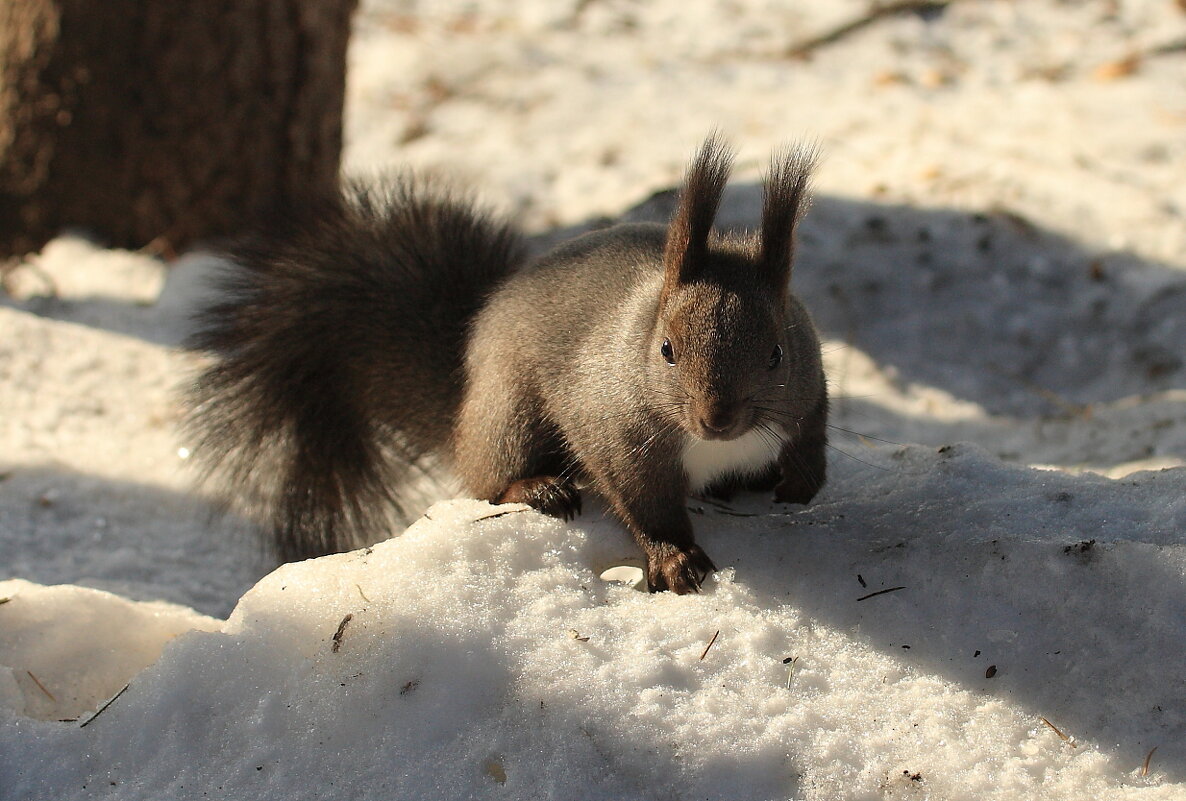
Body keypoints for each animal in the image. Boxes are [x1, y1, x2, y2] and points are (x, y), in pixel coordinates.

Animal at [189, 134, 830, 593]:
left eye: (778, 351)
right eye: (666, 350)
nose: (716, 419)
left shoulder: (811, 387)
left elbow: (812, 438)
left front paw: (801, 483)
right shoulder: (613, 432)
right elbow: (644, 504)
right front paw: (675, 560)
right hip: (510, 416)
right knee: (487, 481)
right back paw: (537, 488)